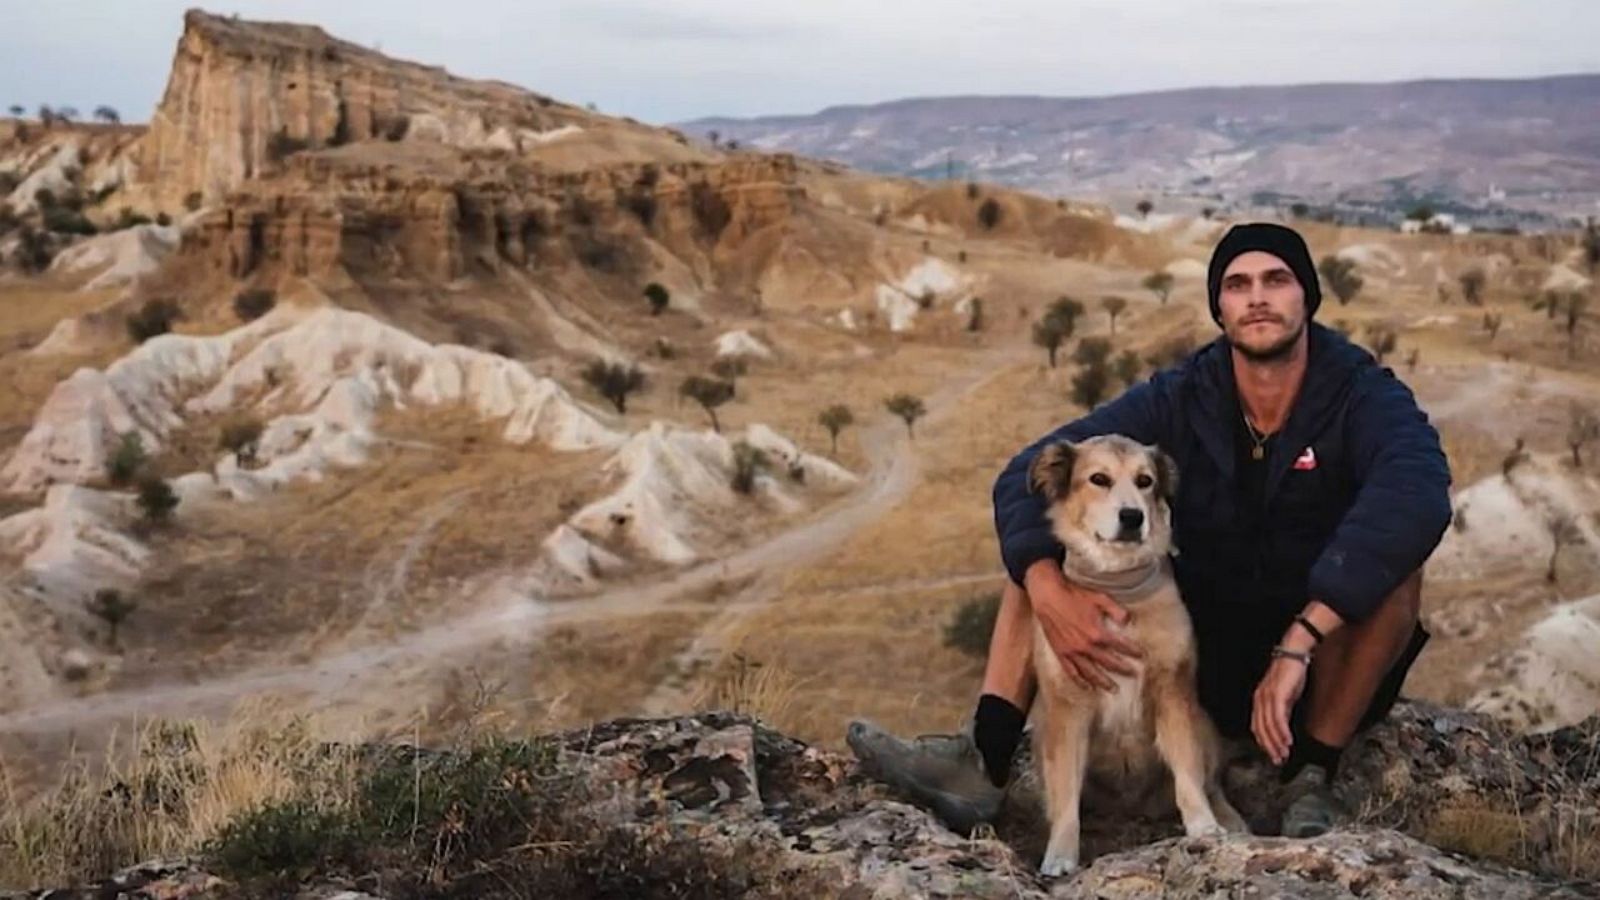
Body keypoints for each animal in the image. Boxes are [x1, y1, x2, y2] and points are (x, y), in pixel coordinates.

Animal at [1024, 432, 1248, 871]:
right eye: (1099, 479)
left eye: (1145, 481)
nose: (1132, 517)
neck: (1119, 590)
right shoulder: (1067, 708)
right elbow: (1065, 796)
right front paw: (1061, 853)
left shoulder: (1173, 692)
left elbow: (1189, 774)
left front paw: (1203, 825)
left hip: (1202, 720)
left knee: (1211, 780)